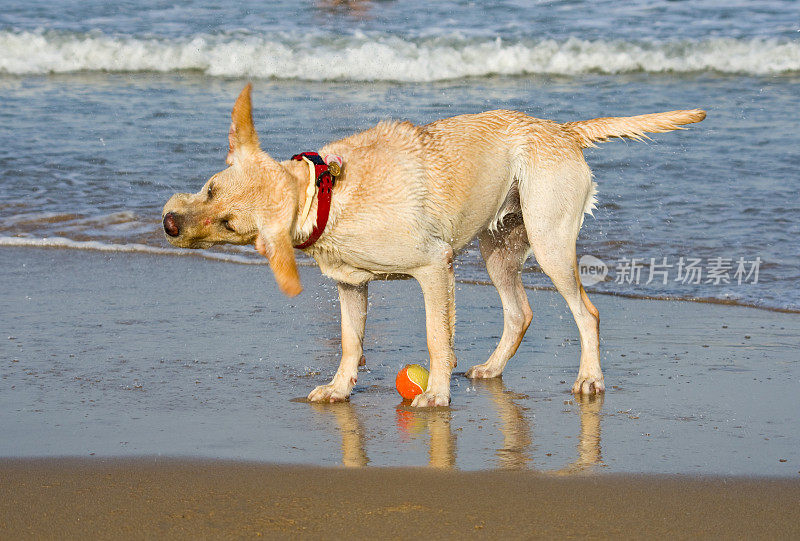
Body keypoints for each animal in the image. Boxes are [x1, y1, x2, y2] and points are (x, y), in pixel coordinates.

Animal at [164, 84, 708, 404]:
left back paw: (589, 379)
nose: (168, 223)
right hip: (498, 250)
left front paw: (437, 395)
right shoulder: (351, 287)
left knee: (586, 313)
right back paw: (493, 367)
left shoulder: (433, 268)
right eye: (210, 189)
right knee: (520, 312)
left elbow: (436, 339)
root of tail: (560, 129)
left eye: (229, 222)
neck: (326, 195)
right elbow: (349, 342)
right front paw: (340, 388)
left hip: (550, 241)